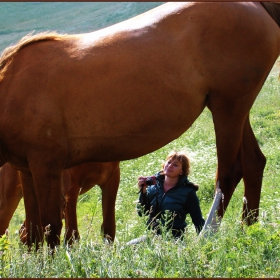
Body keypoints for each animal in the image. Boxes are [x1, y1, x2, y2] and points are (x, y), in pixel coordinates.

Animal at [0, 2, 278, 247]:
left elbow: (51, 227)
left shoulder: (47, 165)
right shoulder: (27, 170)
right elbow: (34, 230)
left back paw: (205, 239)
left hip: (228, 107)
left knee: (228, 173)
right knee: (253, 163)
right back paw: (247, 231)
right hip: (234, 109)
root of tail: (256, 6)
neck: (14, 87)